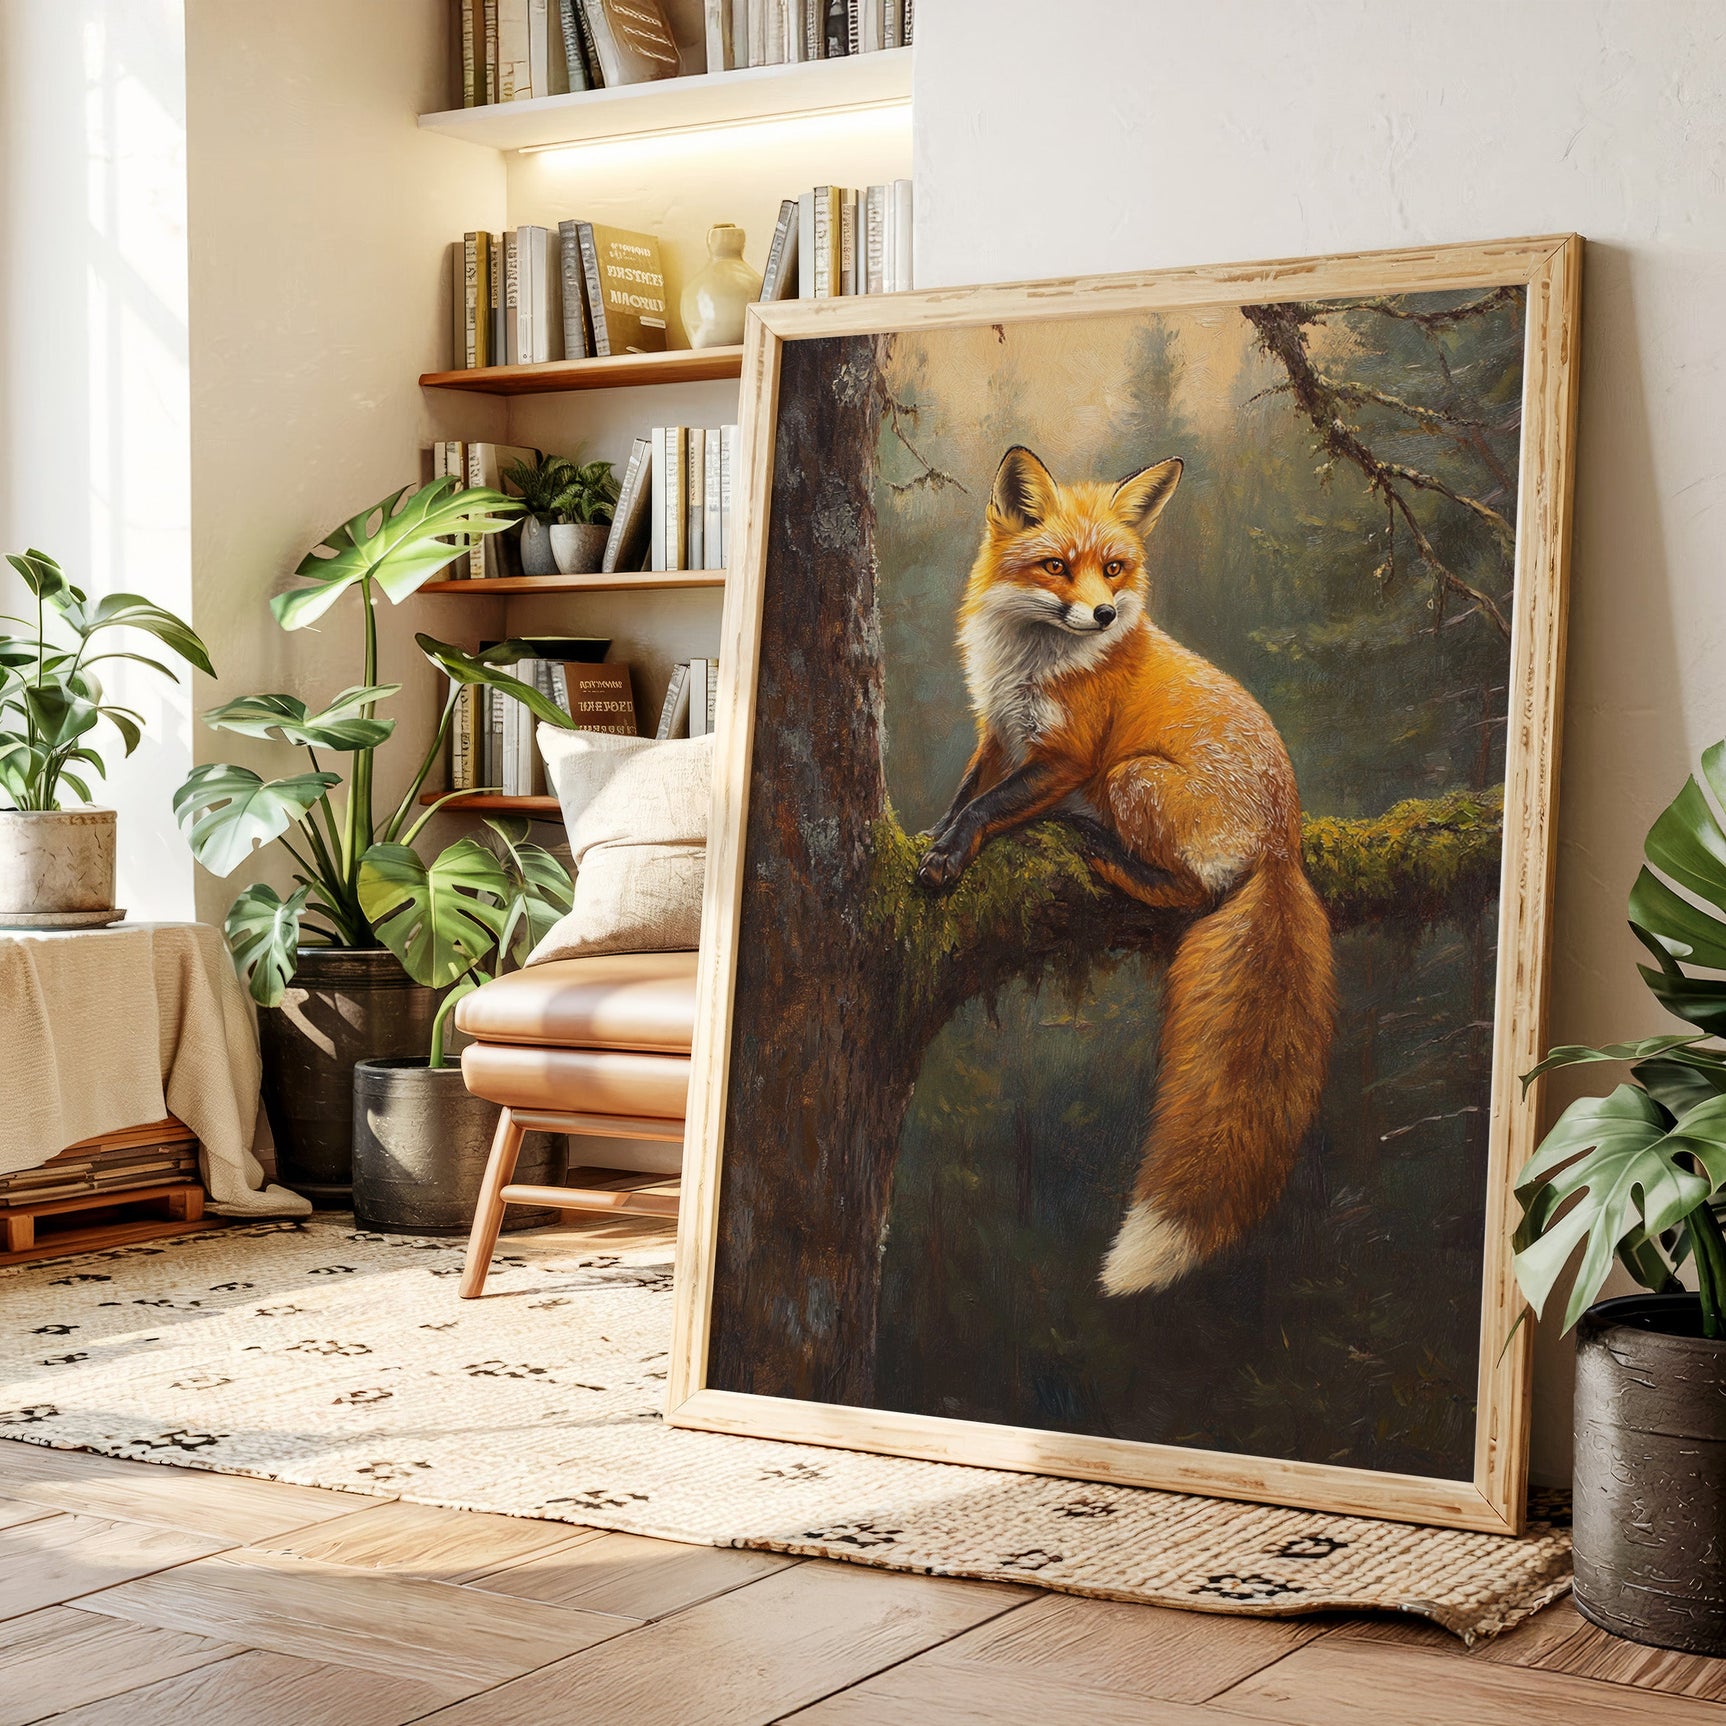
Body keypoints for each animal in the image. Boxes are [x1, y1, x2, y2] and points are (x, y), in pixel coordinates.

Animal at [916, 444, 1336, 1296]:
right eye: (1056, 566)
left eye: (1113, 568)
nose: (1106, 615)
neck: (1031, 662)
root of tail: (1284, 842)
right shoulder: (998, 733)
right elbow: (963, 796)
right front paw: (934, 838)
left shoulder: (1068, 756)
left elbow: (985, 811)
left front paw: (950, 856)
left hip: (1130, 776)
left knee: (1191, 893)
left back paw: (1107, 854)